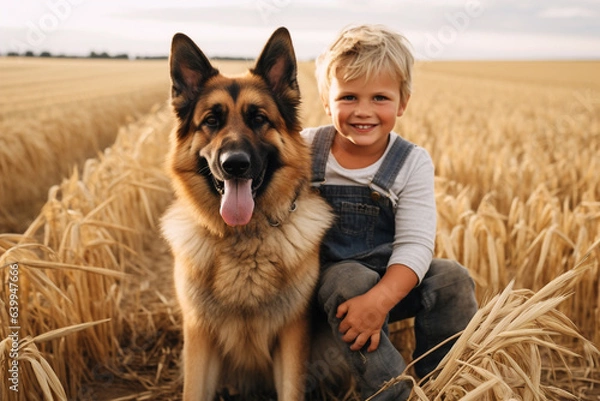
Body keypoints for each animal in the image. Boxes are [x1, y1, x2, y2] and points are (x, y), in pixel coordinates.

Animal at [162, 27, 332, 396]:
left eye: (259, 119)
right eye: (211, 121)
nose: (235, 164)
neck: (244, 240)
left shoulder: (292, 336)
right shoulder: (199, 336)